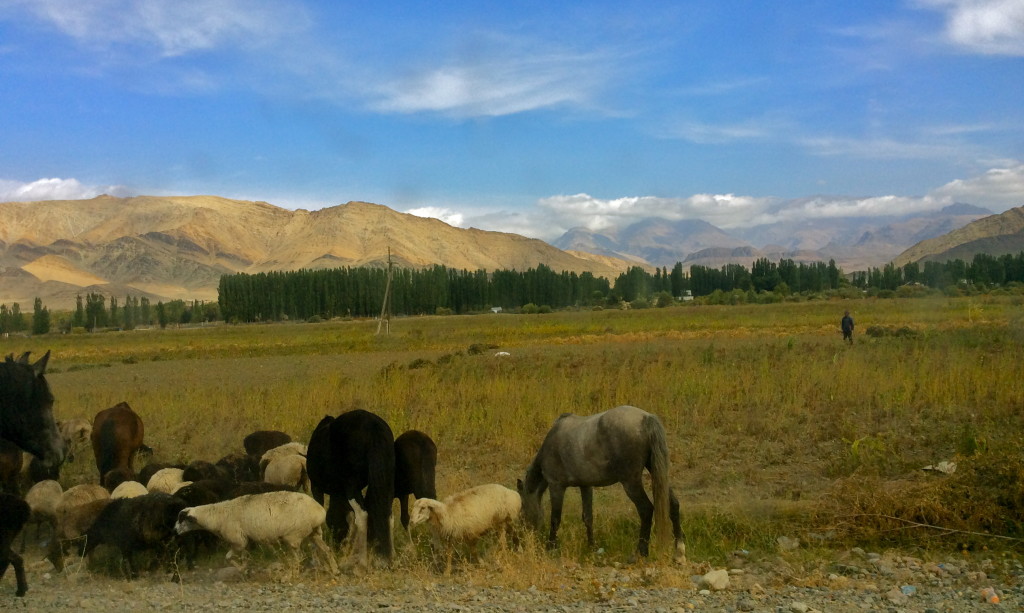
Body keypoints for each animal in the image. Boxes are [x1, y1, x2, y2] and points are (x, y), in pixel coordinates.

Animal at [174, 489, 337, 577]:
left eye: (182, 519)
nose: (174, 531)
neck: (216, 517)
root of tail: (319, 511)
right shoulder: (245, 540)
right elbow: (245, 557)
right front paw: (245, 569)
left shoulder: (237, 541)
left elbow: (228, 557)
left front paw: (241, 568)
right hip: (315, 533)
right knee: (327, 550)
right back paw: (335, 570)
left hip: (293, 536)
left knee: (299, 558)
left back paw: (291, 575)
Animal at [305, 409, 393, 564]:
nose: (339, 546)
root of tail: (372, 426)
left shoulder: (316, 487)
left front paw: (316, 558)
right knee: (386, 513)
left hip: (352, 486)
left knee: (362, 514)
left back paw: (362, 560)